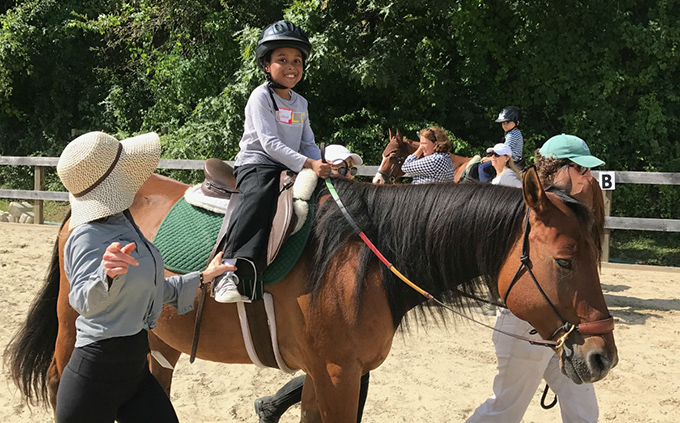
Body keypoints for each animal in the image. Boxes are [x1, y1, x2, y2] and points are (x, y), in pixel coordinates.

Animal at [3, 167, 616, 422]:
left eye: (595, 255)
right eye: (565, 260)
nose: (600, 356)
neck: (362, 264)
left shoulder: (330, 375)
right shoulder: (340, 375)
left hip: (158, 342)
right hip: (72, 331)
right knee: (62, 382)